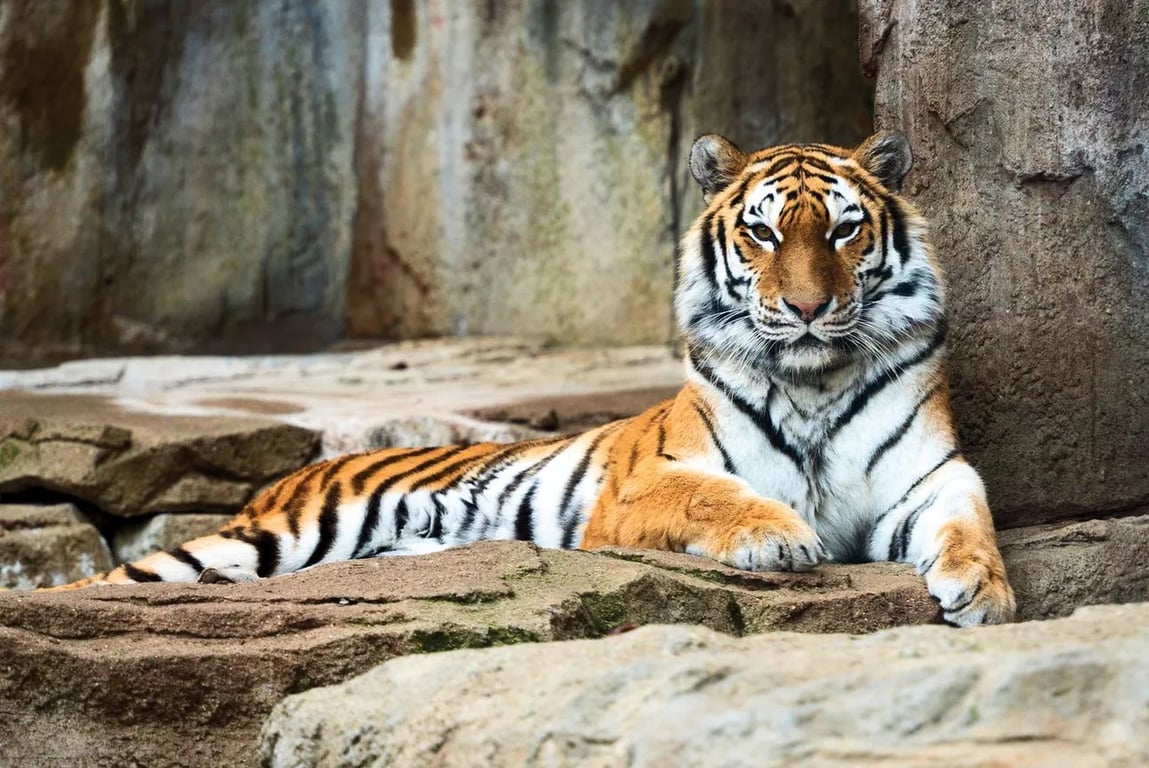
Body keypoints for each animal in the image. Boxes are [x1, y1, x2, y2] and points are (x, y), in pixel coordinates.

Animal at [52, 131, 1016, 626]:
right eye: (764, 233)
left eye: (845, 231)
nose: (811, 307)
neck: (813, 378)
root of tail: (288, 474)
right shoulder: (640, 487)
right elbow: (716, 496)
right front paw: (779, 537)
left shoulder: (927, 477)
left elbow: (967, 521)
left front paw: (983, 590)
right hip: (267, 537)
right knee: (106, 585)